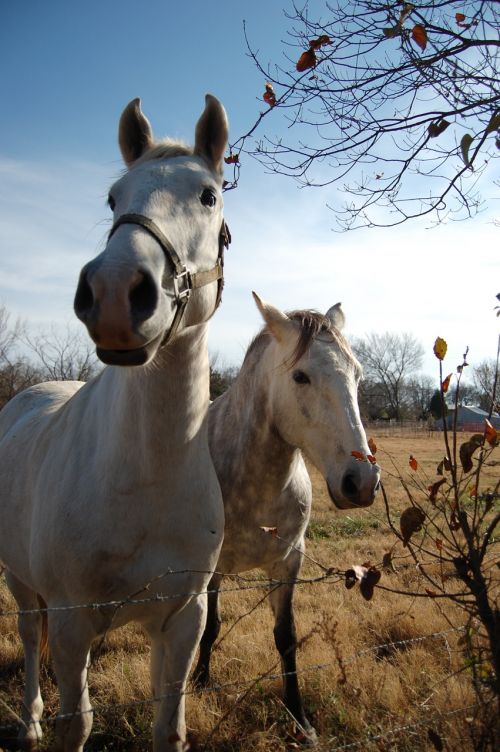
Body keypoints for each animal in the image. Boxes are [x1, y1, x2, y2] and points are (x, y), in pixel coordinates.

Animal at [0, 94, 229, 752]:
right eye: (112, 197)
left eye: (208, 194)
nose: (114, 292)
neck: (146, 475)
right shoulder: (72, 622)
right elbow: (75, 722)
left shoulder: (183, 618)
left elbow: (168, 726)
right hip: (21, 584)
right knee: (28, 636)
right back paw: (27, 722)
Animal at [193, 292, 380, 740]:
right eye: (300, 377)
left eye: (358, 376)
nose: (362, 481)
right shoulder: (211, 568)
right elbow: (210, 625)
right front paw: (200, 681)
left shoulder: (288, 562)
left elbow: (286, 636)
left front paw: (300, 719)